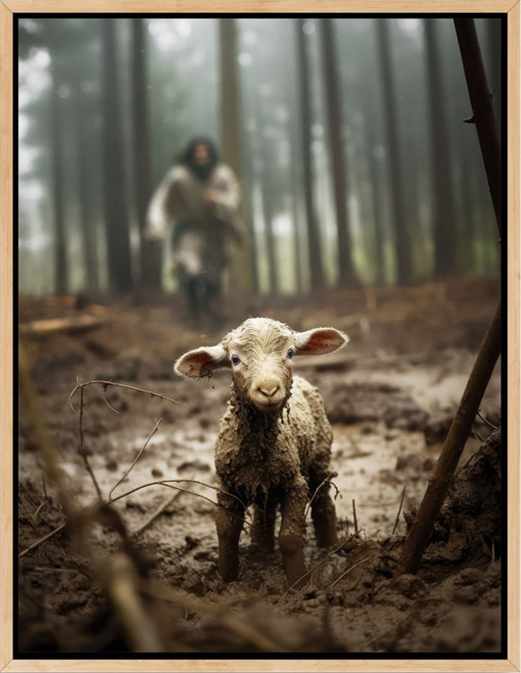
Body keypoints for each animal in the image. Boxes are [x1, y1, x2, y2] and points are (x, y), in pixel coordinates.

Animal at [174, 317, 348, 586]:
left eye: (290, 353)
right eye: (235, 359)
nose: (268, 390)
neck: (257, 450)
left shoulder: (295, 483)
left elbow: (289, 538)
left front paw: (298, 583)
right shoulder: (227, 486)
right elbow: (225, 532)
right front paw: (226, 579)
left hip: (319, 457)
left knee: (322, 501)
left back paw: (329, 546)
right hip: (266, 482)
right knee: (265, 511)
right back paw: (261, 548)